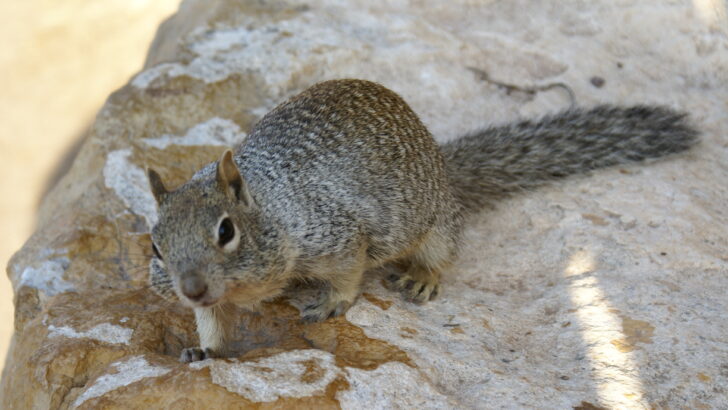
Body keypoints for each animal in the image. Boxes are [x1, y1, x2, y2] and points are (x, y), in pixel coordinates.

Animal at [146, 79, 698, 362]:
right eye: (155, 247)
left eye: (226, 231)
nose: (191, 287)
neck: (271, 209)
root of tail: (444, 166)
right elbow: (212, 322)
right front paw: (204, 350)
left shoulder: (336, 235)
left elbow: (348, 274)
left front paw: (330, 303)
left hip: (435, 225)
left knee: (441, 252)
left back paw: (422, 277)